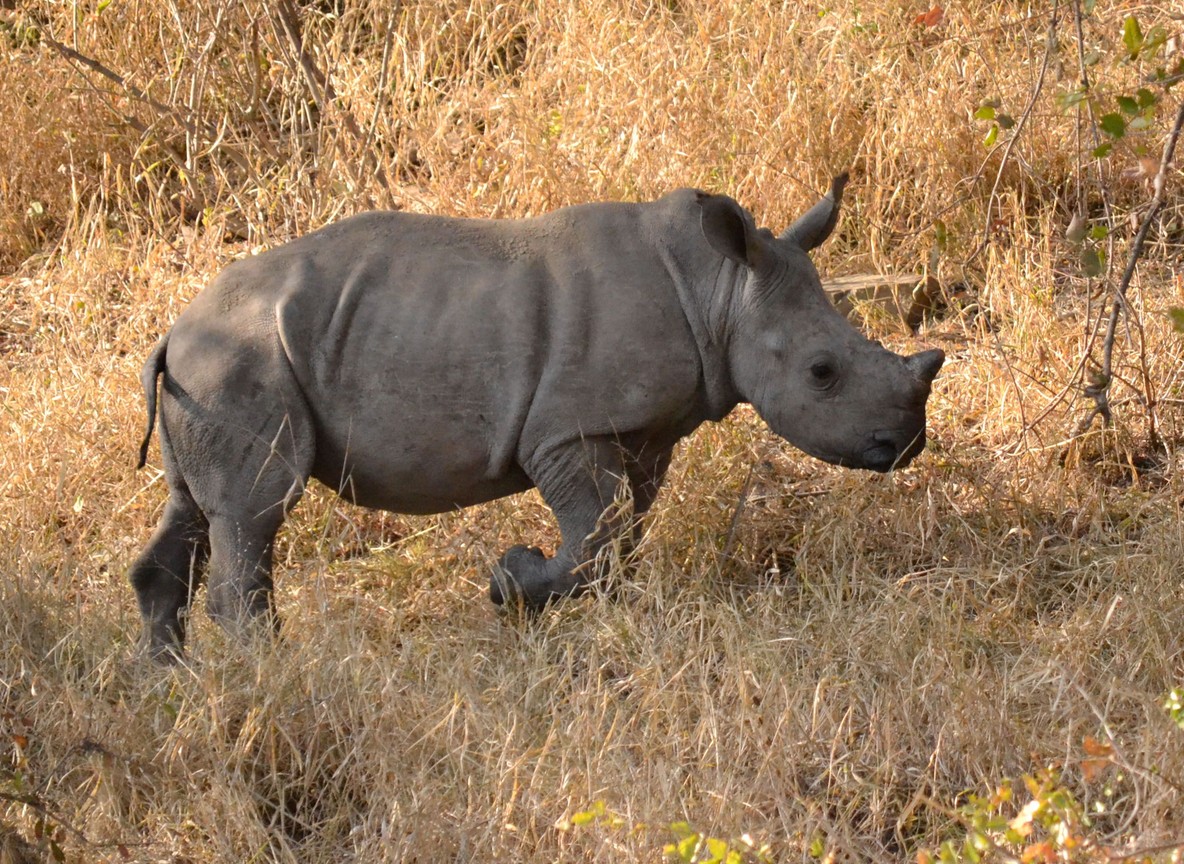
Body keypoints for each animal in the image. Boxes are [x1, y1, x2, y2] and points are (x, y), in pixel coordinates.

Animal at [129, 173, 943, 660]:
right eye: (821, 373)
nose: (905, 443)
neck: (718, 291)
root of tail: (172, 331)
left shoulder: (640, 431)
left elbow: (620, 536)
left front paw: (566, 598)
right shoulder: (567, 432)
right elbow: (594, 540)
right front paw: (509, 582)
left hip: (209, 373)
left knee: (194, 509)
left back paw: (171, 685)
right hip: (239, 364)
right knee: (255, 510)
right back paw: (270, 674)